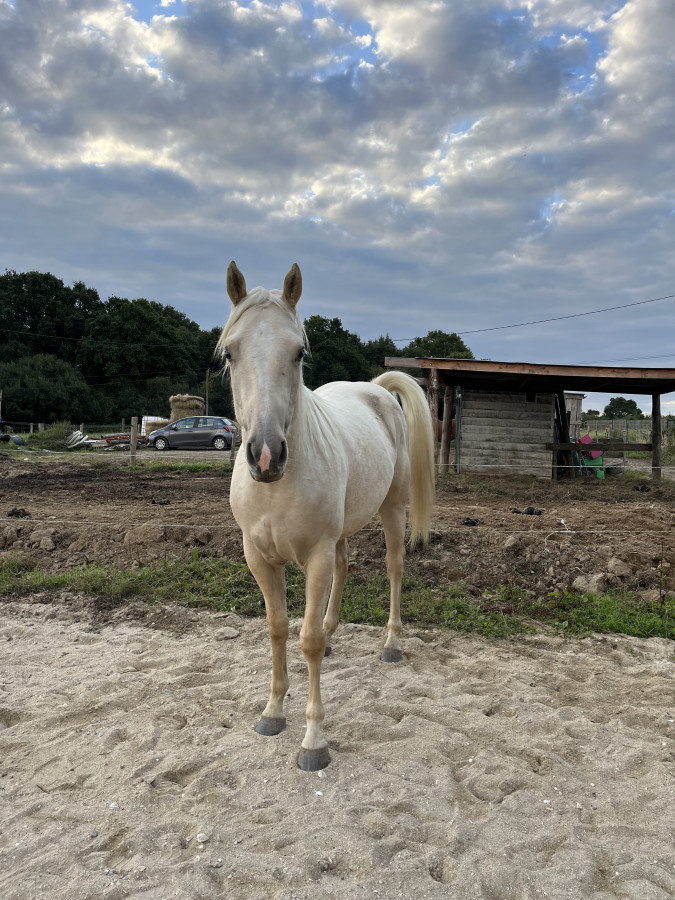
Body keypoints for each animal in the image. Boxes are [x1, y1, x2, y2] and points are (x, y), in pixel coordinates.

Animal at [217, 261, 435, 771]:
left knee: (394, 568)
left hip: (392, 510)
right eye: (230, 353)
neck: (277, 486)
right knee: (345, 566)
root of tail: (377, 392)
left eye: (299, 352)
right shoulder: (259, 558)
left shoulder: (313, 557)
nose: (265, 455)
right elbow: (279, 629)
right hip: (340, 531)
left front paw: (314, 740)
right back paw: (336, 632)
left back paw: (391, 644)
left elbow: (307, 639)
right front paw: (273, 711)